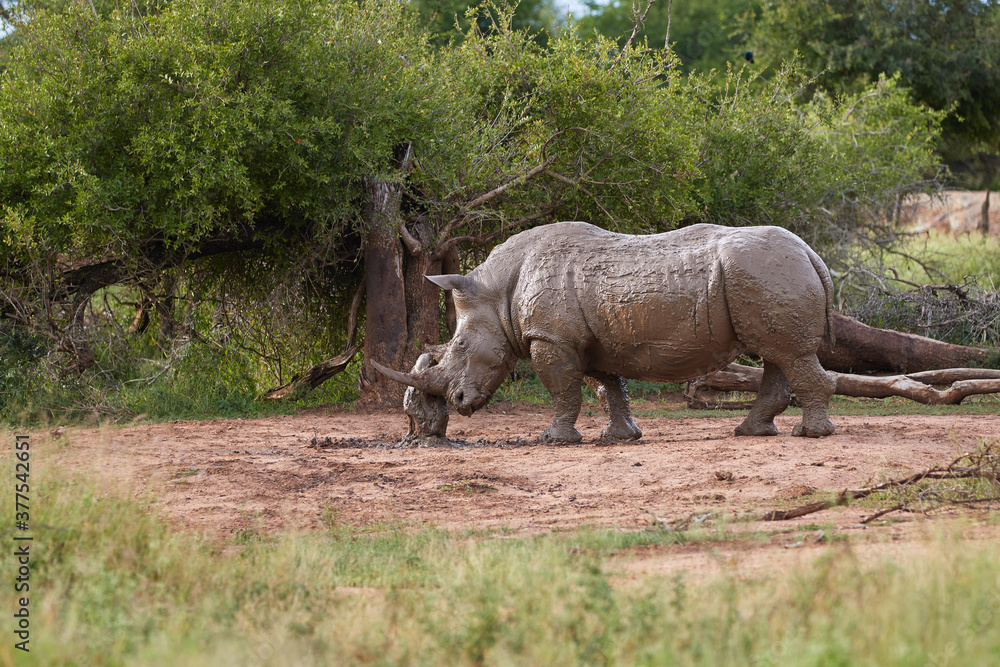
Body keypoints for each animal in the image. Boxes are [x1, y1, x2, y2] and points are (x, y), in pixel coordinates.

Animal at [374, 221, 837, 442]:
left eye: (461, 346)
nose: (458, 402)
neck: (497, 293)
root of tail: (812, 254)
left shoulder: (551, 338)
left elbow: (563, 388)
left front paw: (553, 440)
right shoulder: (593, 340)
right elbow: (608, 387)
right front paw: (620, 437)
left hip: (765, 271)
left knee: (788, 353)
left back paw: (810, 435)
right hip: (768, 274)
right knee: (779, 353)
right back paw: (752, 432)